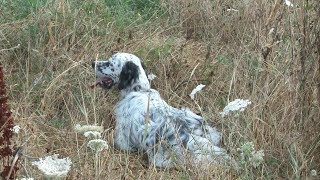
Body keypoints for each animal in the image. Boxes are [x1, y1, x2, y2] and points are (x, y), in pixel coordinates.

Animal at [91, 52, 231, 168]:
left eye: (110, 63)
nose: (92, 62)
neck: (140, 90)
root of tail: (187, 132)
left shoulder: (122, 140)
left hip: (157, 152)